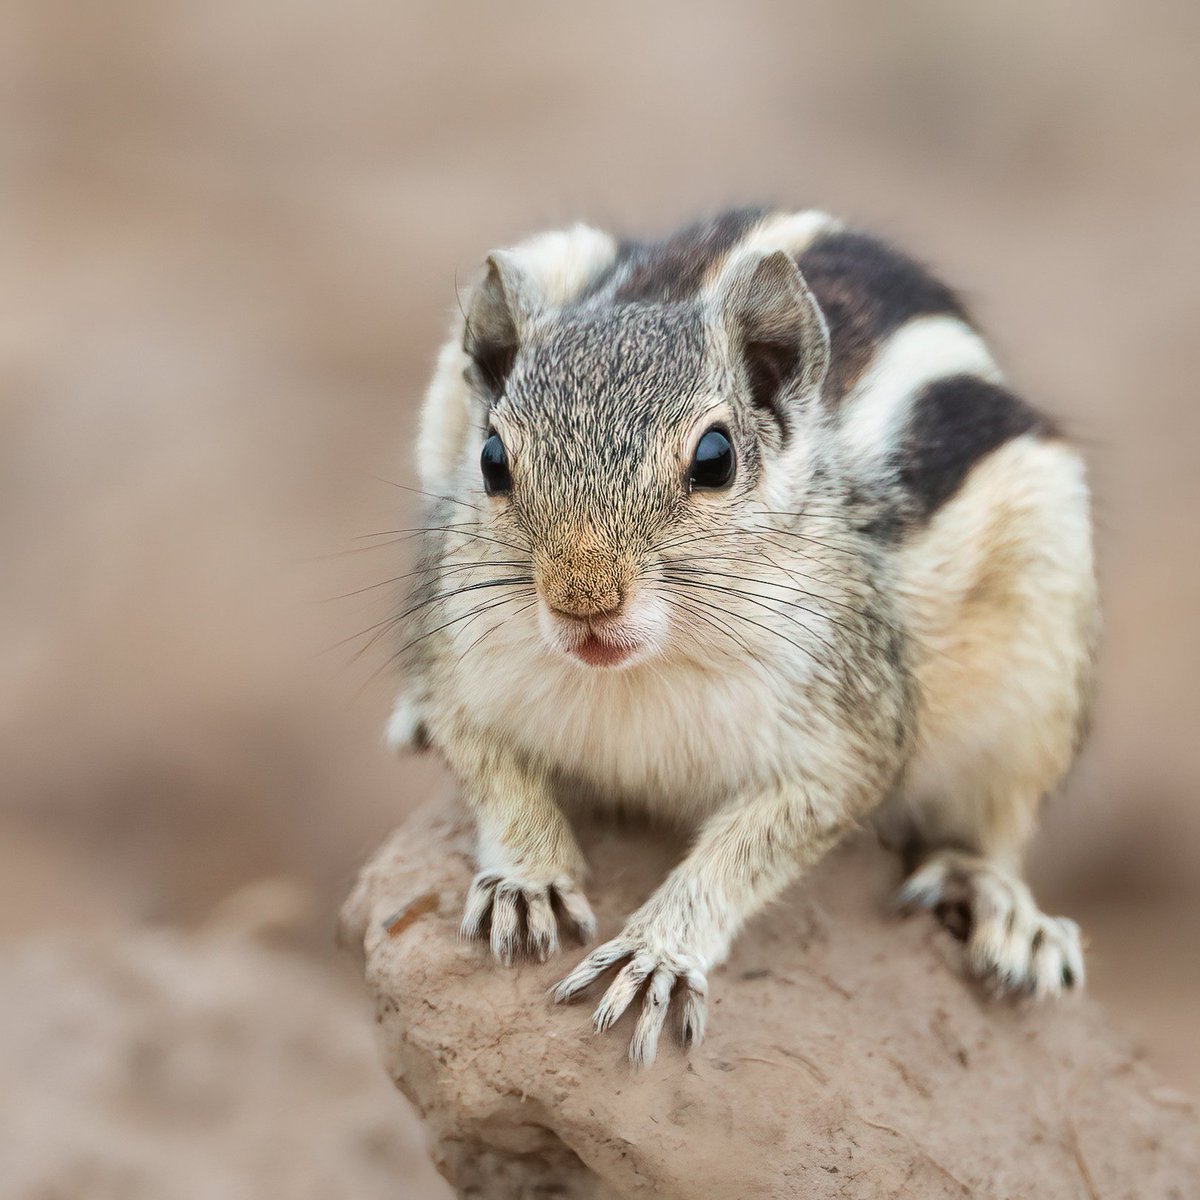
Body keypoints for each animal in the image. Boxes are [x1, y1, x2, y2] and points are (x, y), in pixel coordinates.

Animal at [387, 208, 1099, 1066]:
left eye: (716, 459)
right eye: (492, 460)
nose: (583, 600)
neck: (636, 671)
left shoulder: (849, 735)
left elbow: (751, 849)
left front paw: (656, 954)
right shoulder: (452, 659)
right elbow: (491, 768)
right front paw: (530, 880)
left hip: (1041, 661)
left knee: (998, 822)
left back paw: (1002, 907)